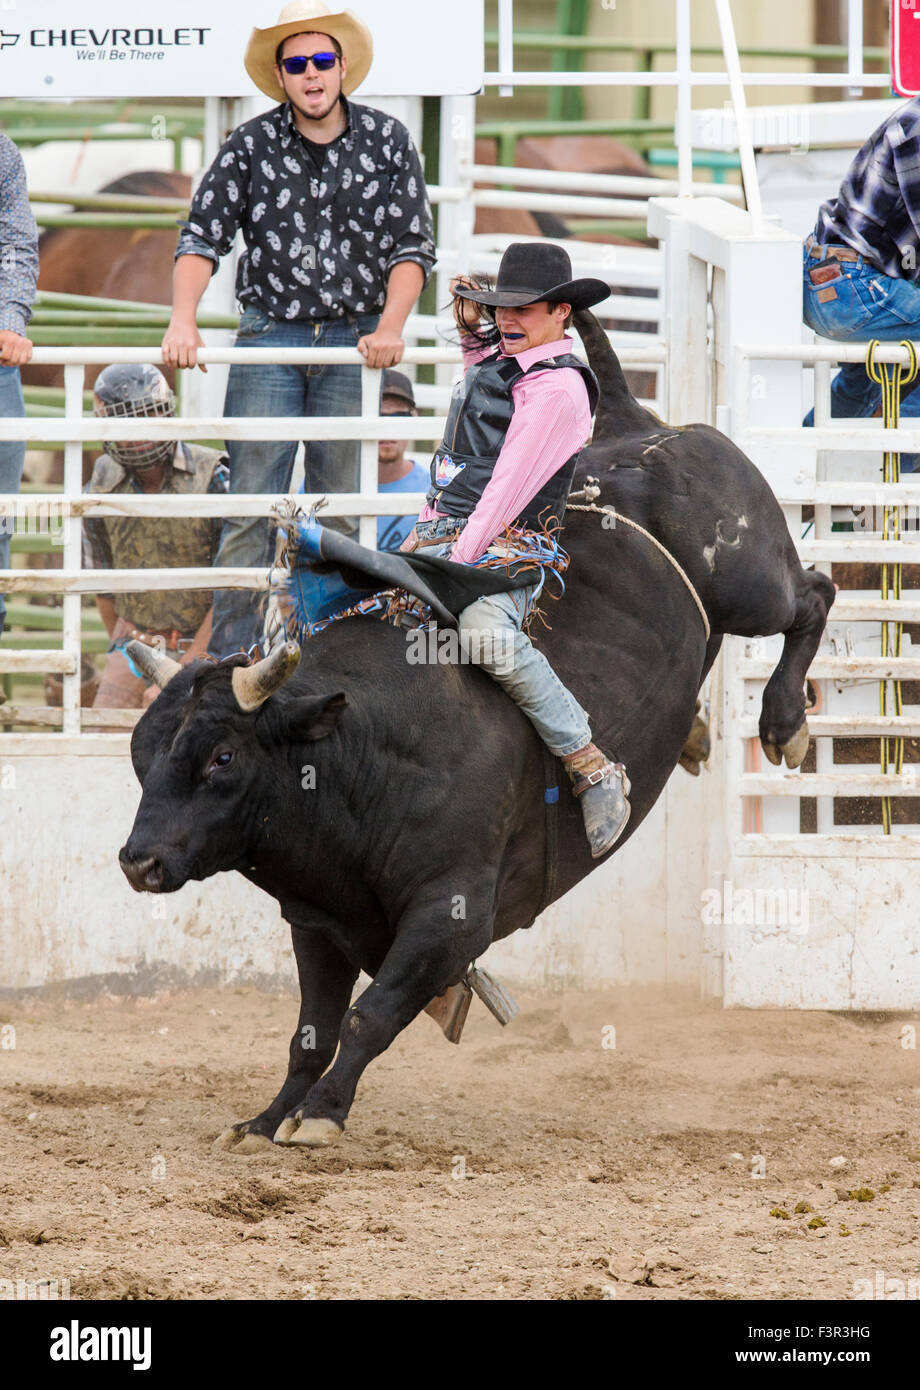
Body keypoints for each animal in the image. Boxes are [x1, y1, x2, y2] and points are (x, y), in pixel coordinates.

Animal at [117, 315, 833, 1150]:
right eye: (141, 761)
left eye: (223, 756)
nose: (139, 861)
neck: (367, 752)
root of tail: (635, 426)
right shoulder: (318, 922)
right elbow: (310, 1033)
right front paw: (266, 1118)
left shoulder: (450, 919)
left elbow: (369, 1017)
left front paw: (322, 1114)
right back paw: (694, 735)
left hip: (751, 579)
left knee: (814, 594)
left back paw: (783, 722)